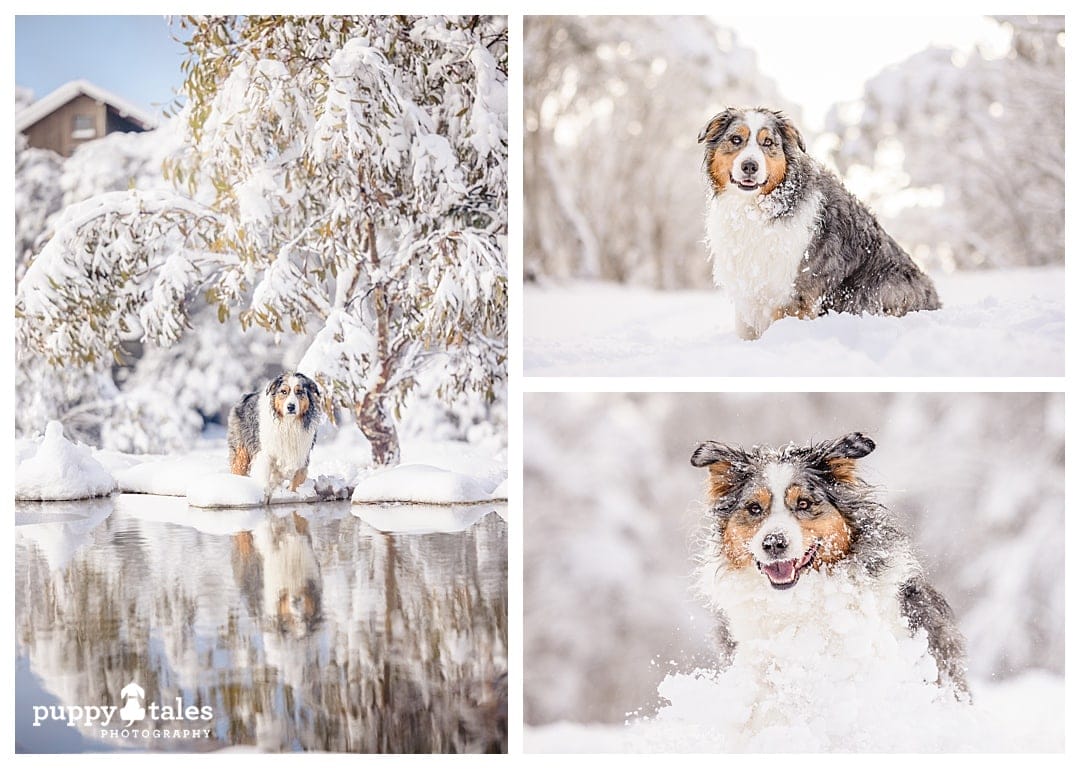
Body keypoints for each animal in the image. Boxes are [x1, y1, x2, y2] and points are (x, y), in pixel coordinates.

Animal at [228, 371, 321, 505]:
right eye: (283, 391)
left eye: (299, 392)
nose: (291, 407)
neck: (288, 424)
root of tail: (245, 396)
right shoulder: (264, 455)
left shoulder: (301, 456)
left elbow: (296, 482)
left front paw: (293, 495)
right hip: (241, 452)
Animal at [699, 107, 937, 339]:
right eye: (736, 139)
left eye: (768, 143)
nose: (750, 166)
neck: (755, 210)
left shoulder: (794, 294)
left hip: (880, 288)